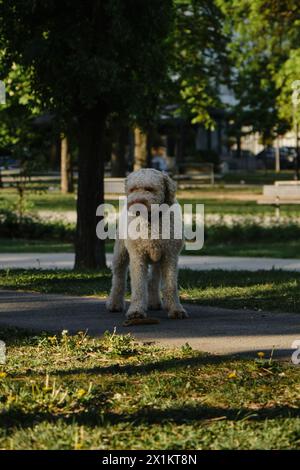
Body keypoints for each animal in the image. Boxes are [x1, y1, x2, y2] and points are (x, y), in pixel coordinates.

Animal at [106, 169, 188, 320]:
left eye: (150, 189)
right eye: (132, 189)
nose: (135, 204)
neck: (151, 220)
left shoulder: (170, 256)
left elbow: (170, 285)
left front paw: (176, 309)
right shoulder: (138, 257)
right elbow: (138, 286)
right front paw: (136, 311)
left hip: (158, 259)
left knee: (153, 279)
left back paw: (154, 302)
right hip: (120, 252)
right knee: (118, 277)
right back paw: (114, 303)